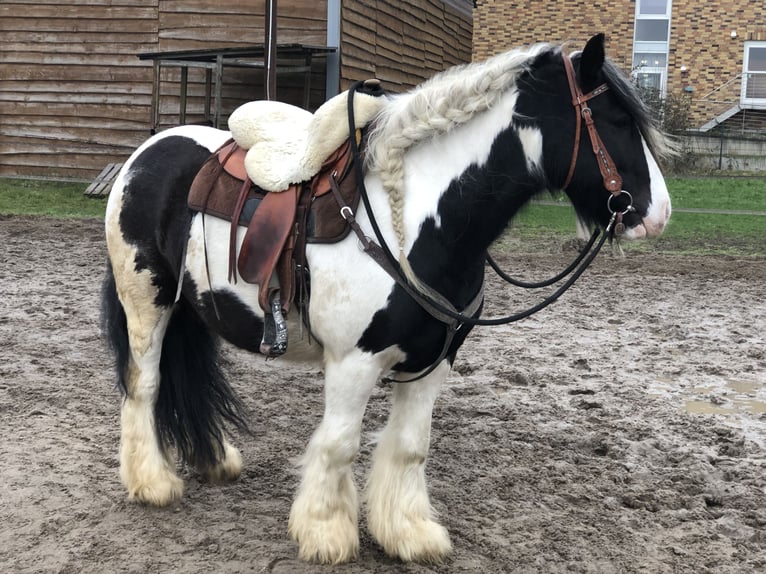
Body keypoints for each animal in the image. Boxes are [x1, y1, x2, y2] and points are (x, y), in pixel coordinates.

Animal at [100, 36, 672, 568]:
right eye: (617, 119)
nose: (658, 214)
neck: (415, 220)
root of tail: (146, 154)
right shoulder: (354, 362)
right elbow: (339, 444)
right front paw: (325, 534)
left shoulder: (433, 361)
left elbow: (411, 445)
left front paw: (408, 534)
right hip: (147, 303)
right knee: (144, 383)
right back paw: (152, 482)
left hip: (192, 307)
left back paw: (213, 460)